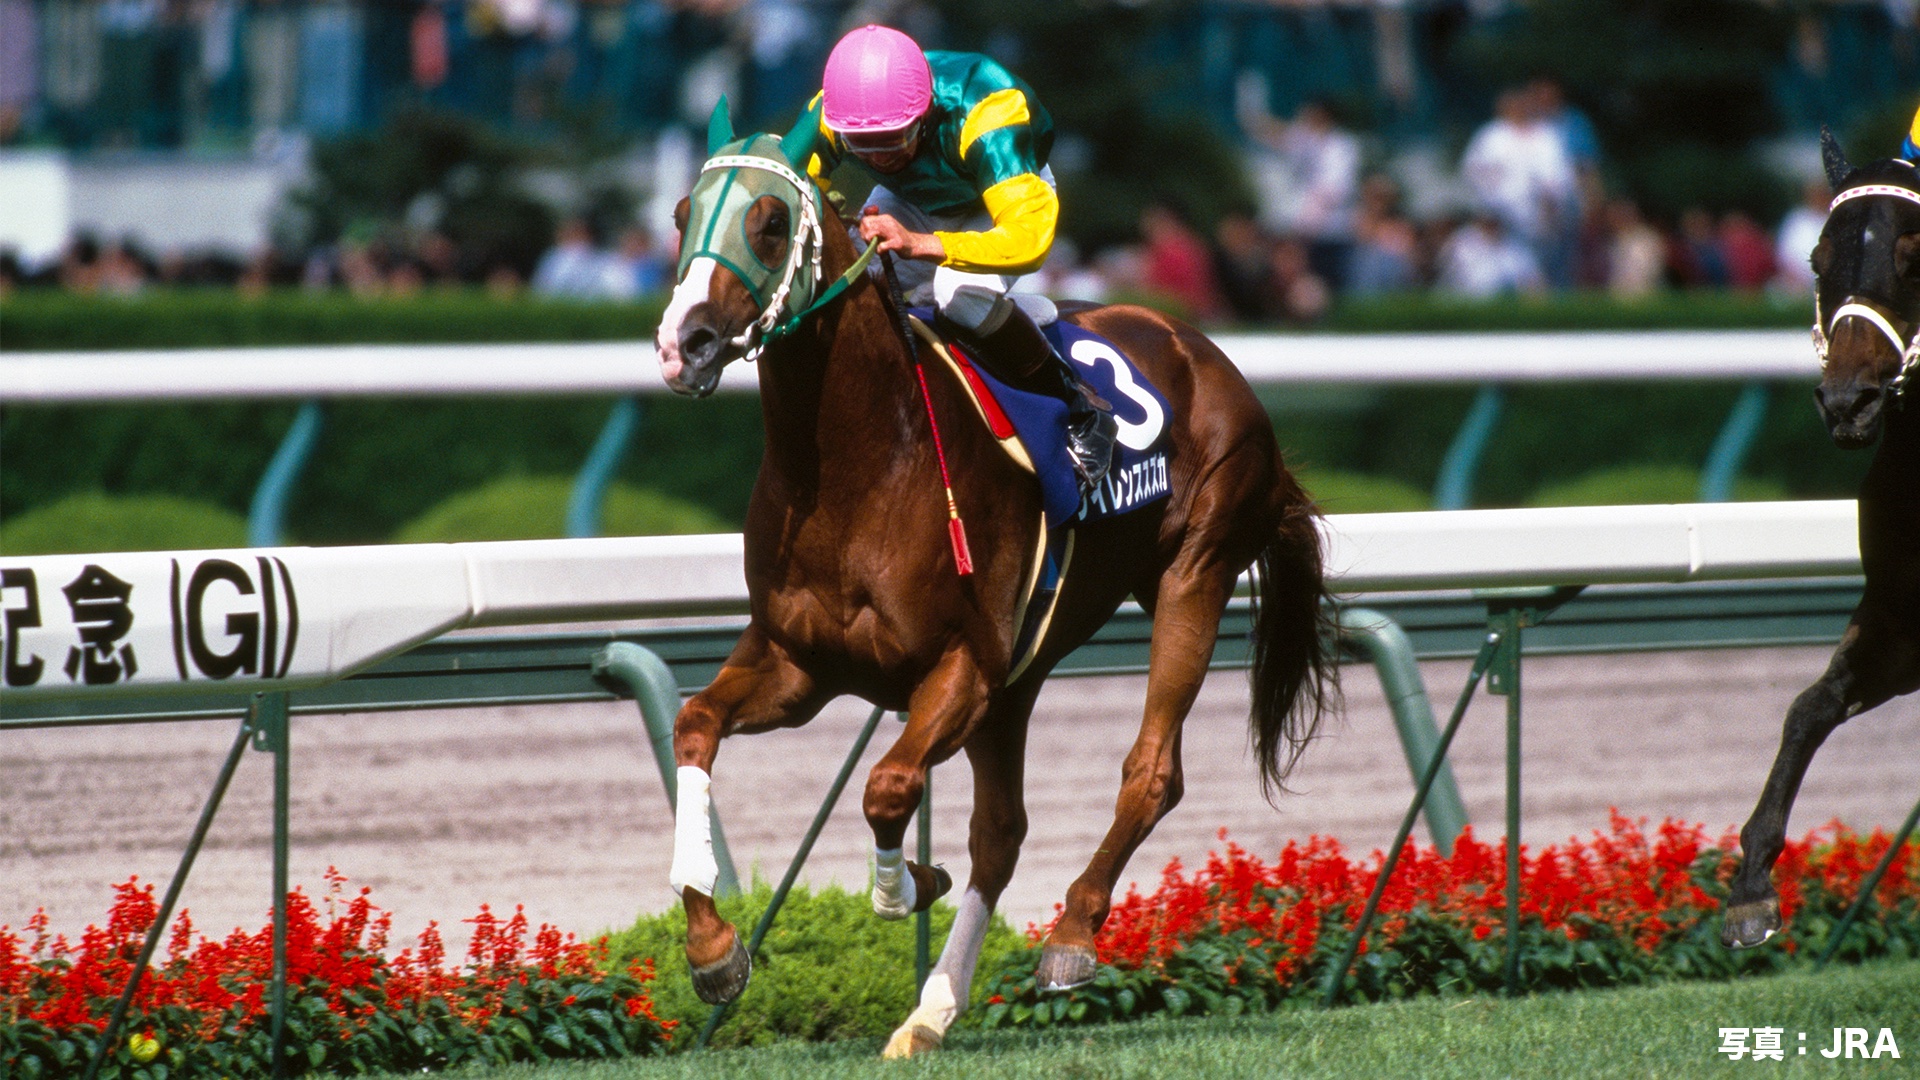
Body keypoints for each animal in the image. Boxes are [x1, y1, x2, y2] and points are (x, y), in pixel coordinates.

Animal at [650, 102, 1335, 1055]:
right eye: (683, 215)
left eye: (772, 221)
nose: (685, 344)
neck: (859, 464)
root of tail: (1196, 344)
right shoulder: (800, 664)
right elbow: (694, 727)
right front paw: (714, 951)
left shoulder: (962, 666)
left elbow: (888, 786)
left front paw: (906, 885)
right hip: (1025, 669)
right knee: (1002, 832)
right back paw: (930, 1013)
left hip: (1192, 573)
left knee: (1151, 773)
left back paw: (1071, 939)